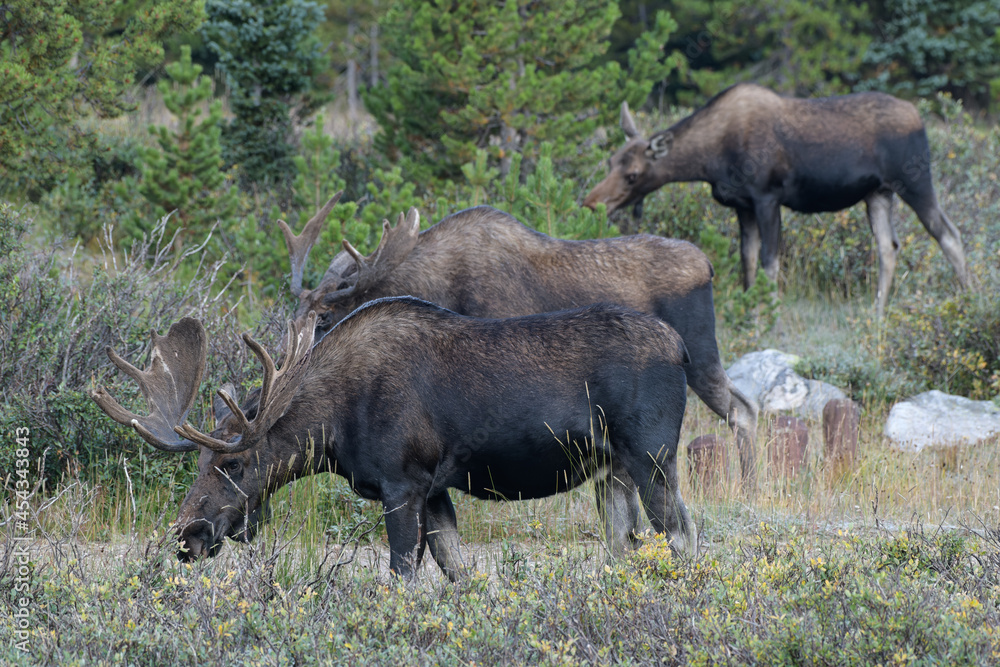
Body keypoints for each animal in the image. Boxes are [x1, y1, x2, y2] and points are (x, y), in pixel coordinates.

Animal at [90, 298, 696, 580]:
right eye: (197, 466)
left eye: (233, 465)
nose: (186, 535)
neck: (334, 429)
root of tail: (682, 348)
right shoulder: (437, 488)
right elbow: (460, 574)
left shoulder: (403, 483)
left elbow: (400, 573)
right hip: (612, 472)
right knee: (627, 546)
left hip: (653, 457)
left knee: (684, 535)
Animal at [282, 197, 756, 486]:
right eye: (294, 318)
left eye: (325, 318)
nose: (295, 376)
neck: (435, 283)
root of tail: (709, 265)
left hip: (700, 352)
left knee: (743, 410)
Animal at [584, 83, 968, 318]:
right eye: (610, 161)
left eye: (633, 174)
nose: (592, 203)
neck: (710, 161)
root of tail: (920, 118)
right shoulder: (742, 206)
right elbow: (748, 263)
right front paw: (751, 314)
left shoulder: (767, 198)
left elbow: (770, 264)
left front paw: (769, 317)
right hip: (878, 193)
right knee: (889, 247)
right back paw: (876, 314)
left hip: (915, 179)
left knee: (948, 233)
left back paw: (969, 299)